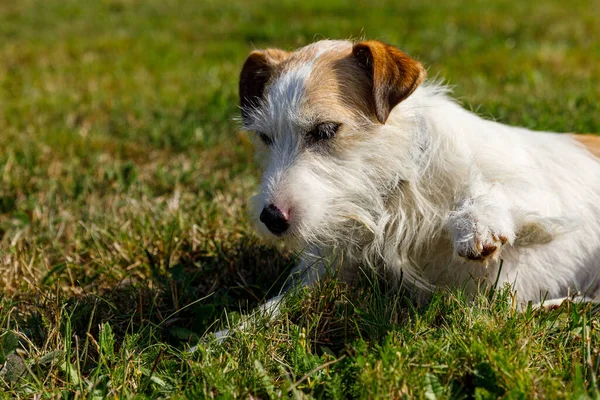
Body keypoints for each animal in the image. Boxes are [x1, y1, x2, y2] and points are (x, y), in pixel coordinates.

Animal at [236, 39, 600, 322]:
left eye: (325, 130)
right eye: (265, 138)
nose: (271, 218)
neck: (398, 190)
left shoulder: (542, 194)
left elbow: (496, 191)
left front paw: (475, 223)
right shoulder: (329, 269)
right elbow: (270, 312)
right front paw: (226, 339)